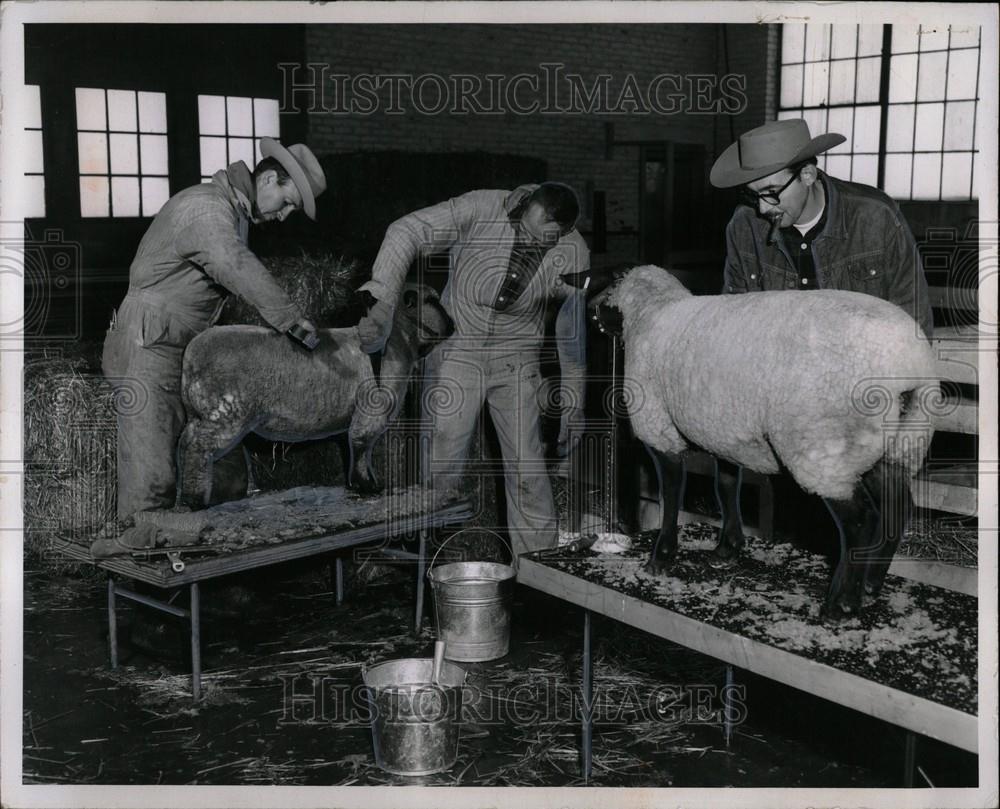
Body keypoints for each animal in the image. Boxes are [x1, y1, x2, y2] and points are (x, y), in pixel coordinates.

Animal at [177, 284, 454, 504]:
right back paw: (196, 498)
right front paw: (369, 486)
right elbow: (361, 447)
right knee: (197, 447)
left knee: (185, 440)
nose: (452, 325)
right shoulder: (370, 413)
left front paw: (358, 484)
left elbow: (353, 448)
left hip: (201, 412)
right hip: (224, 413)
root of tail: (191, 355)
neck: (395, 343)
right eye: (432, 301)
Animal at [588, 266, 932, 620]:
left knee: (862, 520)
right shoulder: (724, 435)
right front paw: (728, 548)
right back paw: (872, 584)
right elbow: (727, 486)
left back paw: (842, 602)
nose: (590, 309)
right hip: (897, 446)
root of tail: (906, 370)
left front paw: (661, 557)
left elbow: (671, 495)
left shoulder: (659, 429)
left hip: (826, 449)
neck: (651, 312)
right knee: (898, 508)